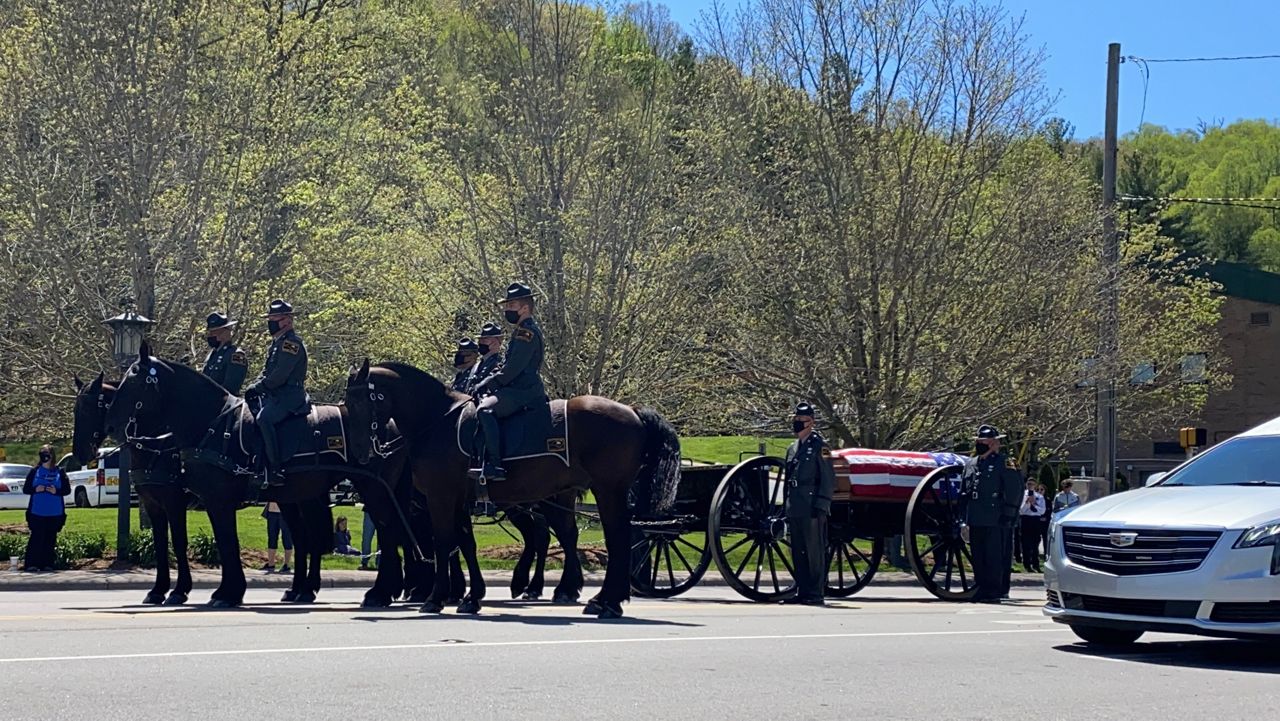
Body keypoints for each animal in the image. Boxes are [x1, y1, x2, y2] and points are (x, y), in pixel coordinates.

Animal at [72, 376, 192, 607]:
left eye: (88, 409)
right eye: (75, 410)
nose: (79, 453)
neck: (156, 444)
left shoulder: (175, 503)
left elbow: (179, 542)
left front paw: (180, 590)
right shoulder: (153, 505)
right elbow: (160, 544)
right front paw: (158, 590)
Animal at [101, 343, 409, 609]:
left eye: (134, 383)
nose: (112, 425)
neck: (209, 423)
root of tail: (393, 421)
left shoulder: (209, 501)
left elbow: (224, 543)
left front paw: (223, 593)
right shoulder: (165, 503)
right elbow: (186, 543)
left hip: (372, 488)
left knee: (386, 531)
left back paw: (379, 593)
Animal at [340, 358, 680, 617]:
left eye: (359, 402)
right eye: (347, 403)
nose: (360, 452)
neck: (437, 421)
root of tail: (632, 410)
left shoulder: (439, 497)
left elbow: (442, 542)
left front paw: (434, 597)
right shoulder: (459, 498)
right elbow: (465, 544)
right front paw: (471, 596)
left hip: (604, 491)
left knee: (612, 537)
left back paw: (602, 600)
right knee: (572, 535)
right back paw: (583, 594)